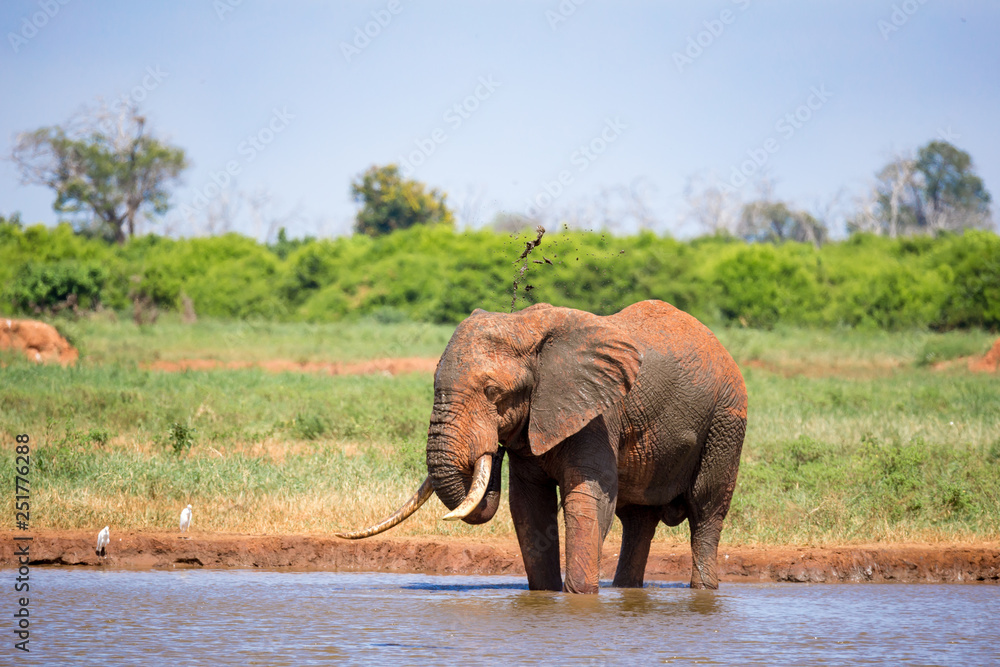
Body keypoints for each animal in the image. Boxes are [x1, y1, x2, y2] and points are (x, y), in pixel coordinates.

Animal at [338, 300, 747, 593]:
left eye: (492, 392)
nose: (493, 447)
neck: (528, 328)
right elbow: (529, 506)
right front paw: (545, 598)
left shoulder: (597, 413)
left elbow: (589, 499)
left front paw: (579, 599)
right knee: (638, 520)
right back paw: (627, 590)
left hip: (726, 422)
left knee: (706, 510)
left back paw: (703, 590)